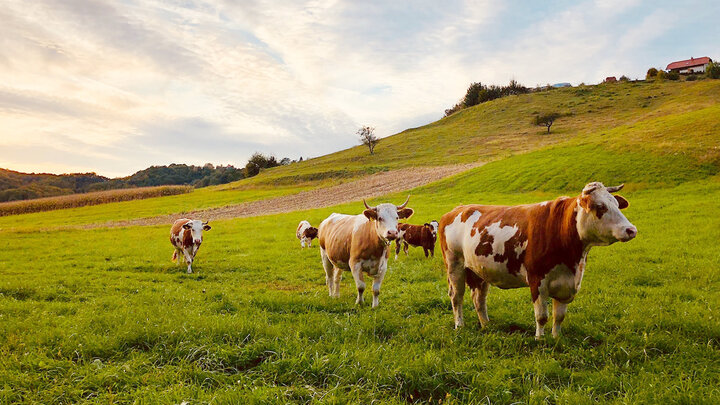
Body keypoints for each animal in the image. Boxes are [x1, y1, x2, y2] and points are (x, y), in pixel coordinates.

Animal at [438, 183, 636, 338]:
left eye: (617, 204)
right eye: (601, 206)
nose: (631, 230)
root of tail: (456, 210)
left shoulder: (568, 284)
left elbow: (559, 316)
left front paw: (556, 338)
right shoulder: (537, 280)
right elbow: (542, 316)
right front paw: (539, 339)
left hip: (479, 269)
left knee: (479, 298)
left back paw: (487, 325)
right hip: (454, 265)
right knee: (456, 296)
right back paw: (460, 325)